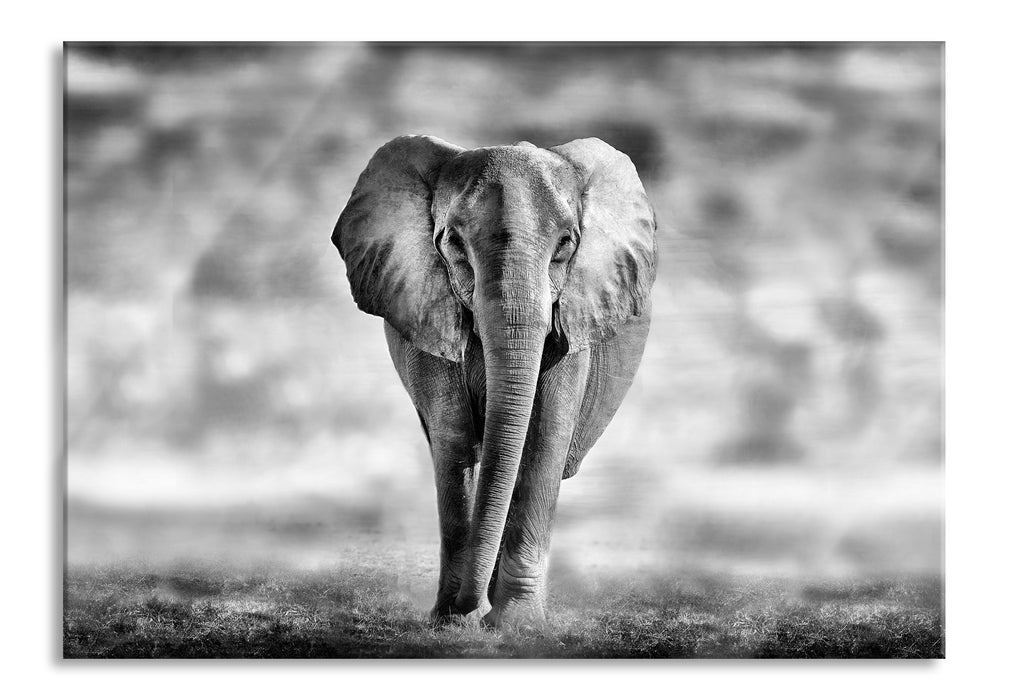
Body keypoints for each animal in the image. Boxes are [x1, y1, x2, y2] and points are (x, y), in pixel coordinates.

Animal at [331, 135, 656, 628]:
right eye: (453, 242)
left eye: (566, 244)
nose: (474, 612)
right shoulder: (427, 311)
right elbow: (454, 437)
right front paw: (455, 621)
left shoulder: (574, 316)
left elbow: (543, 436)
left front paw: (517, 625)